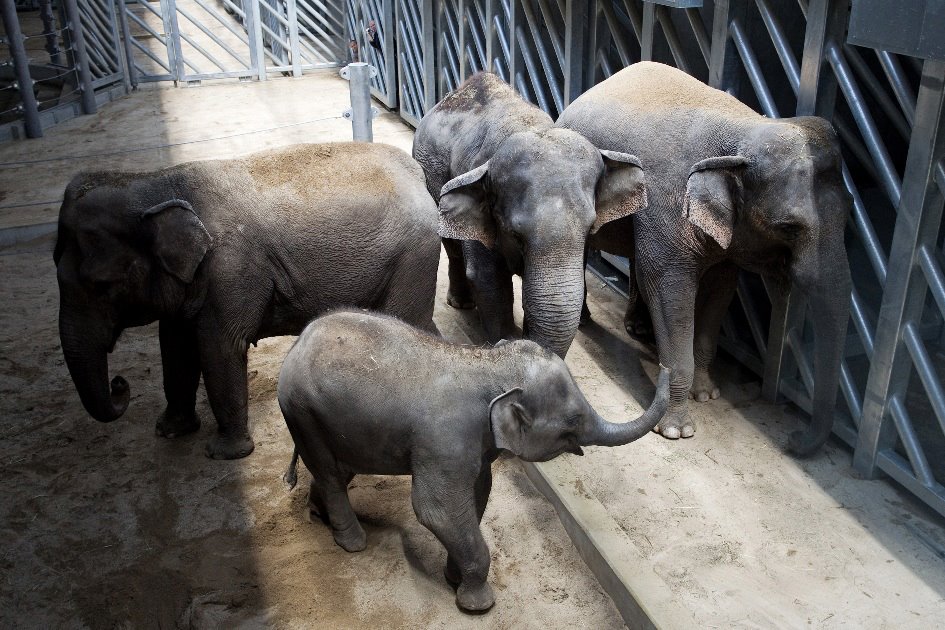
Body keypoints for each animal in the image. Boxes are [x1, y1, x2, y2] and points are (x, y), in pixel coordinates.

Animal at [56, 142, 442, 460]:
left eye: (102, 286)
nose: (119, 384)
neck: (159, 183)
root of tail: (417, 175)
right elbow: (175, 344)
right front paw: (169, 432)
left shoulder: (230, 267)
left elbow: (219, 346)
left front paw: (224, 454)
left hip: (414, 254)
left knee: (407, 320)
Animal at [276, 312, 668, 616]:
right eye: (572, 422)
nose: (663, 363)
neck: (485, 363)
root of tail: (299, 341)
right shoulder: (446, 441)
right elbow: (436, 509)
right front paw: (478, 605)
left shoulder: (475, 445)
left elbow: (477, 495)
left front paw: (454, 579)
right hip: (301, 411)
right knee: (329, 472)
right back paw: (353, 542)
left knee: (339, 468)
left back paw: (320, 514)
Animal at [412, 71, 648, 358]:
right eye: (515, 235)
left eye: (591, 229)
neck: (529, 126)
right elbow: (488, 279)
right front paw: (508, 342)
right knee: (453, 248)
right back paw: (462, 303)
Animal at [556, 63, 852, 460]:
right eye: (788, 227)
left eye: (850, 212)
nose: (792, 440)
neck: (745, 130)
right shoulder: (666, 206)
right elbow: (669, 290)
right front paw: (677, 430)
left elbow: (720, 289)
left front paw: (707, 394)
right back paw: (588, 321)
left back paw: (638, 328)